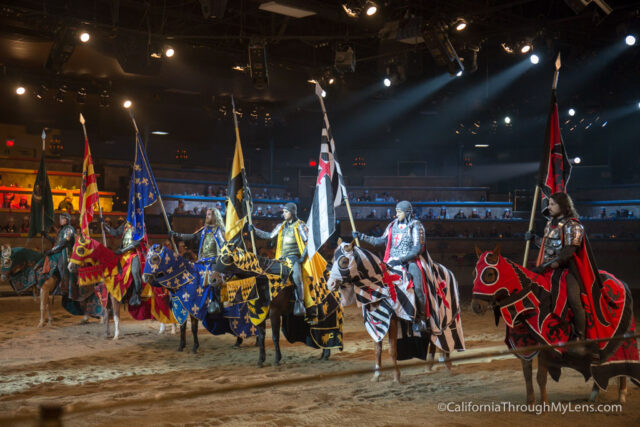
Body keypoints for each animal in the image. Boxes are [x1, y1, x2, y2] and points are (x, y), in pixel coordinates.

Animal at [328, 242, 462, 382]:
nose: (330, 284)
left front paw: (396, 376)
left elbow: (392, 349)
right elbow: (377, 349)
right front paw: (377, 375)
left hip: (444, 315)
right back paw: (429, 366)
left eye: (344, 261)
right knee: (433, 339)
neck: (381, 287)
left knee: (445, 336)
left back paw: (447, 364)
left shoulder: (392, 320)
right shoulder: (376, 322)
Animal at [470, 247, 640, 404]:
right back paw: (594, 394)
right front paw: (530, 403)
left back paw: (621, 394)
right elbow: (527, 375)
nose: (476, 306)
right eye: (474, 273)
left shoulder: (546, 344)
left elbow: (541, 376)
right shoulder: (524, 343)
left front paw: (544, 404)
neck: (532, 298)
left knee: (623, 361)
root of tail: (621, 282)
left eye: (489, 274)